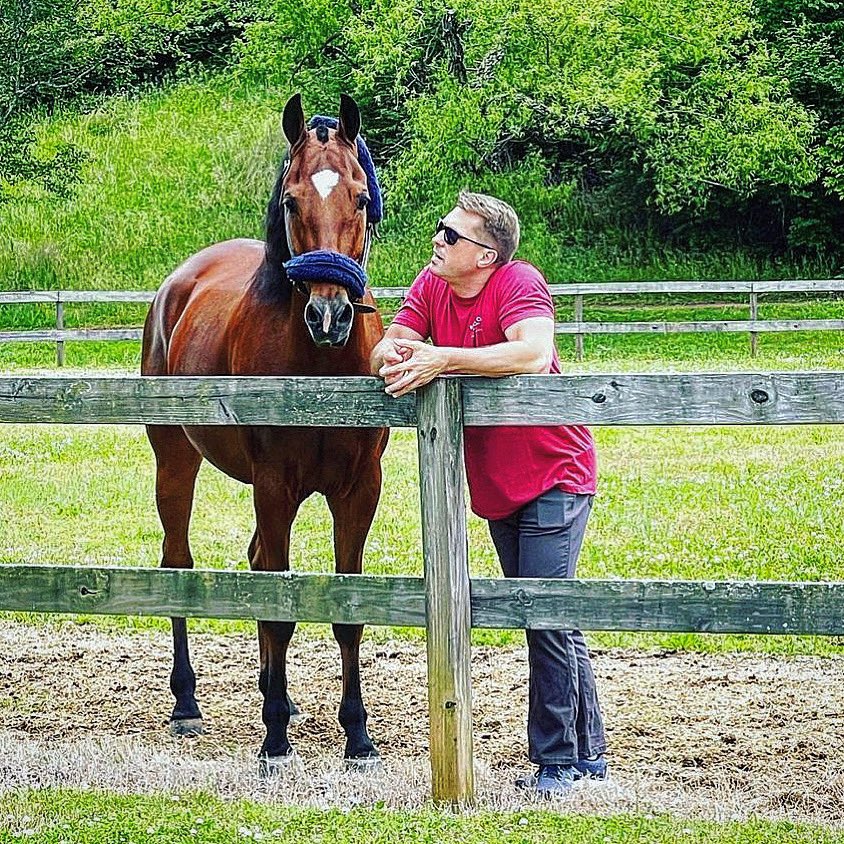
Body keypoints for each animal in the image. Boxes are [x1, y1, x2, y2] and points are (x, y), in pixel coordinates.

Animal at [141, 94, 388, 771]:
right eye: (292, 201)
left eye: (361, 197)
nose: (329, 315)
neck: (320, 369)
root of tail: (177, 283)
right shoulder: (275, 486)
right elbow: (278, 613)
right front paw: (274, 737)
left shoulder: (359, 490)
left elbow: (346, 612)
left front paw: (357, 735)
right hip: (175, 461)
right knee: (178, 562)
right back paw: (187, 702)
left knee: (254, 565)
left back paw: (275, 692)